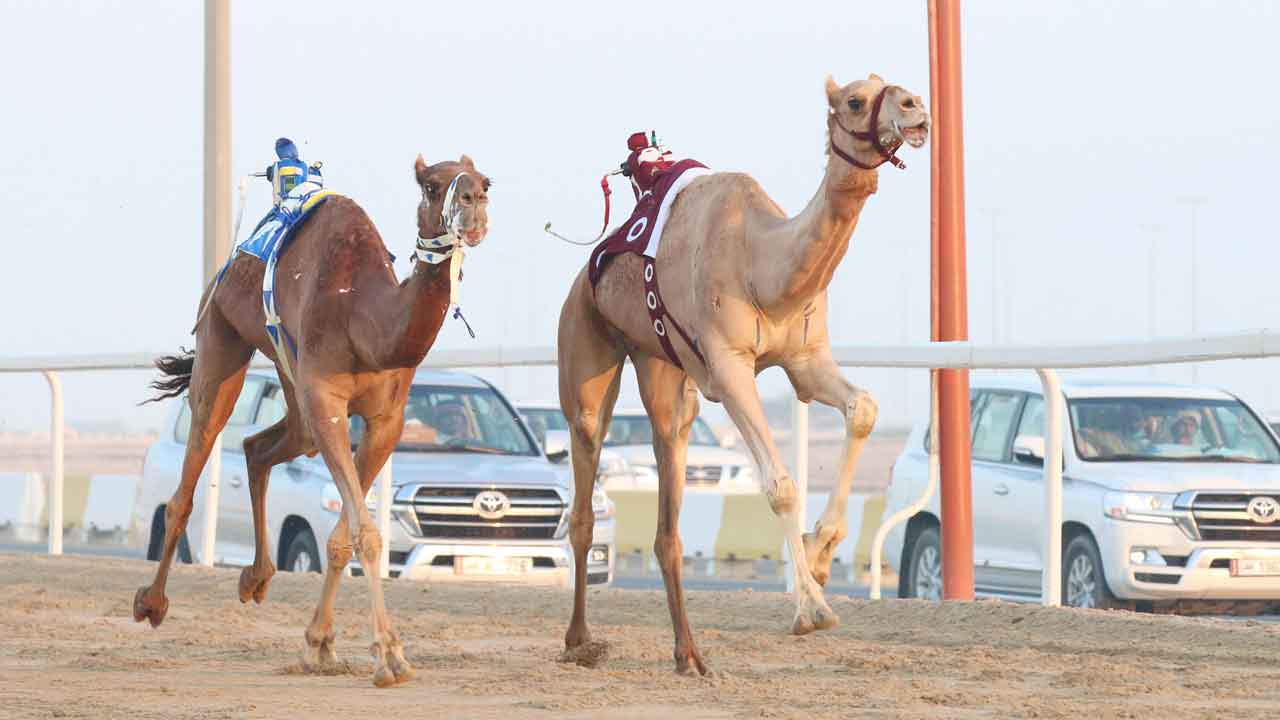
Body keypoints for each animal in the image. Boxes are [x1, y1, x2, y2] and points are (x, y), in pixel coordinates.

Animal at [135, 154, 491, 687]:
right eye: (432, 186)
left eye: (486, 181)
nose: (474, 202)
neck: (365, 319)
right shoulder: (327, 403)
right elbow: (366, 533)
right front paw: (389, 654)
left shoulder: (386, 421)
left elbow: (344, 534)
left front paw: (319, 644)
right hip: (221, 336)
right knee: (191, 471)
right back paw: (152, 601)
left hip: (288, 373)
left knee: (260, 447)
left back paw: (256, 577)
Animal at [556, 74, 929, 674]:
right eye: (854, 100)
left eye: (888, 84)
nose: (917, 108)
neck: (764, 267)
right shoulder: (729, 368)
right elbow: (780, 485)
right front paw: (811, 609)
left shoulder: (805, 360)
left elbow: (864, 408)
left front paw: (821, 554)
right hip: (584, 340)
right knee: (585, 487)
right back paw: (580, 641)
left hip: (663, 373)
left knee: (668, 504)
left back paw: (688, 655)